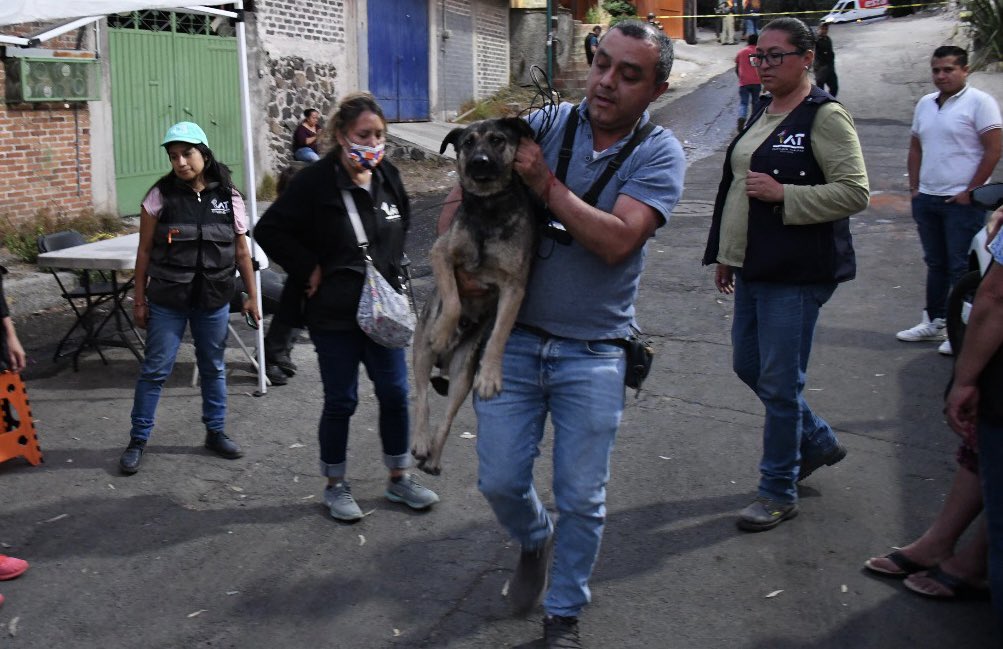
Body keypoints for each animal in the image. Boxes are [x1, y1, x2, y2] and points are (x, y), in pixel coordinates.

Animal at [411, 116, 541, 475]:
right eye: (468, 143)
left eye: (497, 140)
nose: (480, 162)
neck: (488, 207)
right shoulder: (441, 255)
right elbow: (454, 301)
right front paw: (444, 330)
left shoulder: (514, 286)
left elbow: (499, 335)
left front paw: (491, 376)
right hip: (421, 354)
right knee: (422, 400)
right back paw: (420, 442)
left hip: (460, 377)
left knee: (447, 418)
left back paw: (433, 458)